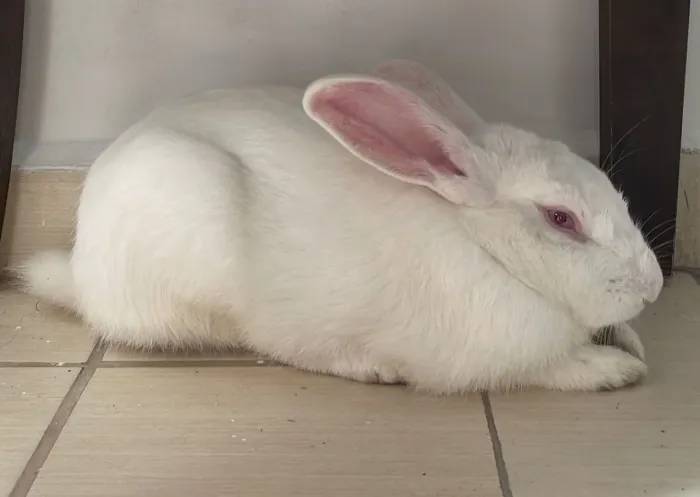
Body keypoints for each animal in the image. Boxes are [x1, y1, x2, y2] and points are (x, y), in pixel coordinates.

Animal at [17, 59, 663, 394]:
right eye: (561, 219)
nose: (653, 286)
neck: (484, 247)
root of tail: (81, 271)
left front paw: (631, 340)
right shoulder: (499, 358)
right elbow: (556, 366)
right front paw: (617, 368)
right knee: (263, 342)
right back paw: (371, 367)